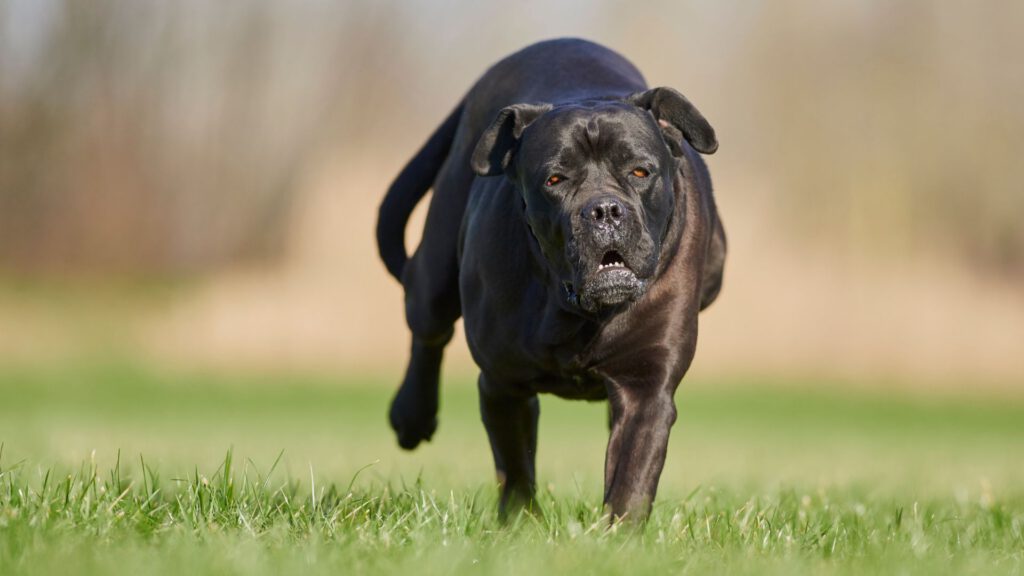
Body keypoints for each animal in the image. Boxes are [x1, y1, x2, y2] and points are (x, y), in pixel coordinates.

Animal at [378, 38, 729, 518]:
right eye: (555, 180)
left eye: (640, 171)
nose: (604, 210)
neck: (578, 311)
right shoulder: (502, 382)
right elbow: (516, 467)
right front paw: (521, 523)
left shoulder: (646, 386)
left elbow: (633, 474)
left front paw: (619, 530)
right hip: (436, 268)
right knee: (427, 325)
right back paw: (411, 415)